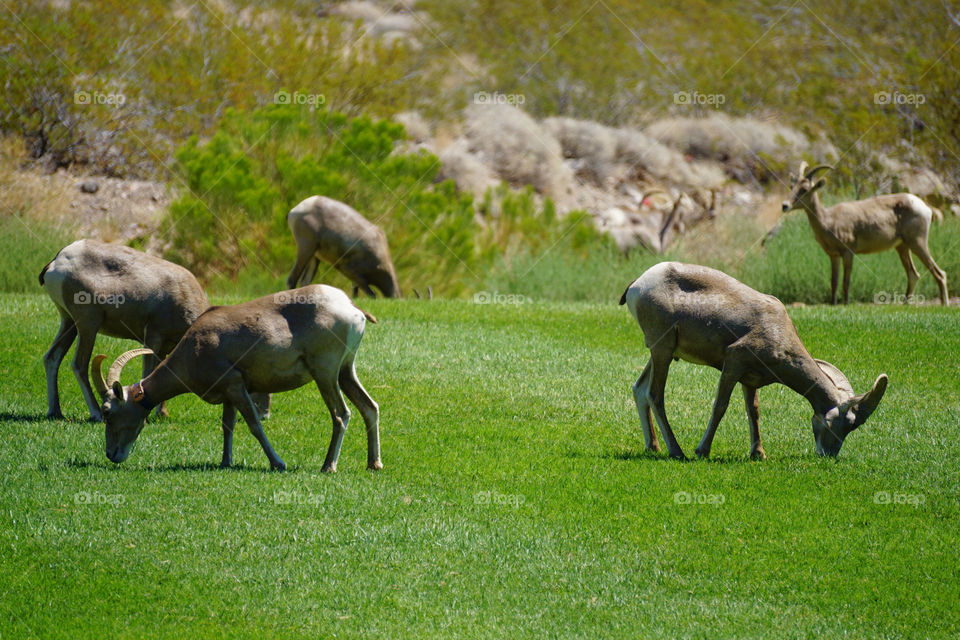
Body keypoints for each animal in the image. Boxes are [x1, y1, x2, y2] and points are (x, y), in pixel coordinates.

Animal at [39, 239, 210, 420]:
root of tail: (58, 260)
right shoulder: (152, 338)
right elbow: (147, 372)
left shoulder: (164, 348)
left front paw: (162, 414)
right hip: (88, 324)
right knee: (79, 365)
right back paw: (96, 414)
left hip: (69, 322)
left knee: (52, 358)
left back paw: (55, 412)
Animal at [91, 284, 382, 470]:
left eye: (107, 411)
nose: (111, 454)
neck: (197, 344)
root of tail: (351, 308)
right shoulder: (228, 395)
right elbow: (227, 425)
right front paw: (225, 462)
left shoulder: (236, 387)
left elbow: (253, 425)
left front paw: (278, 463)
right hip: (345, 372)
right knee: (370, 407)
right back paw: (374, 464)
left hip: (325, 374)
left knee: (341, 414)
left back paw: (328, 466)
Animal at [620, 262, 888, 460]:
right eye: (848, 423)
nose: (828, 455)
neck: (780, 334)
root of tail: (637, 284)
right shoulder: (733, 362)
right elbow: (720, 406)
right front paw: (702, 451)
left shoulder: (749, 380)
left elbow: (754, 411)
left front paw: (758, 454)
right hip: (662, 350)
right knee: (655, 395)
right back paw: (677, 452)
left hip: (661, 352)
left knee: (639, 389)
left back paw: (653, 447)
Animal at [784, 164, 948, 306]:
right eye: (791, 187)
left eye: (804, 189)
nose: (784, 205)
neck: (828, 220)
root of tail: (925, 208)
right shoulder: (834, 255)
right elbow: (834, 282)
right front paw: (833, 304)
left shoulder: (848, 252)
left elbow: (846, 281)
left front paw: (846, 304)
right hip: (903, 247)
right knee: (913, 274)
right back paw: (905, 304)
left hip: (918, 243)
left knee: (939, 273)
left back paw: (944, 304)